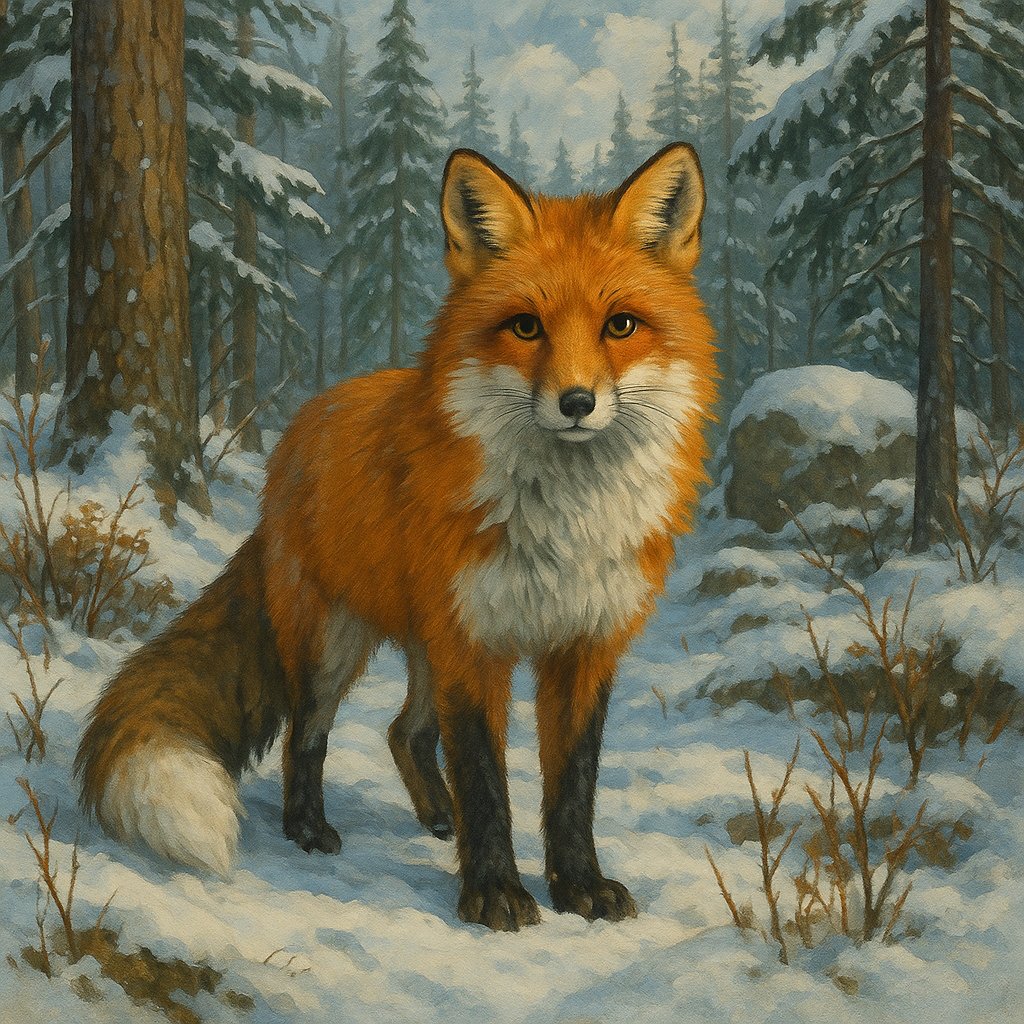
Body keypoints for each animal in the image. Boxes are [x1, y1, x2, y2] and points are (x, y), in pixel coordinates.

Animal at [75, 142, 717, 931]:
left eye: (620, 326)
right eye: (526, 328)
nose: (576, 402)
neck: (566, 524)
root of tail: (301, 431)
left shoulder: (584, 645)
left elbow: (571, 788)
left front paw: (579, 886)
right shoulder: (475, 642)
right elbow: (486, 782)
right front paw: (494, 893)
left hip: (421, 641)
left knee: (403, 731)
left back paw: (435, 815)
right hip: (335, 641)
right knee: (307, 733)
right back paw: (308, 828)